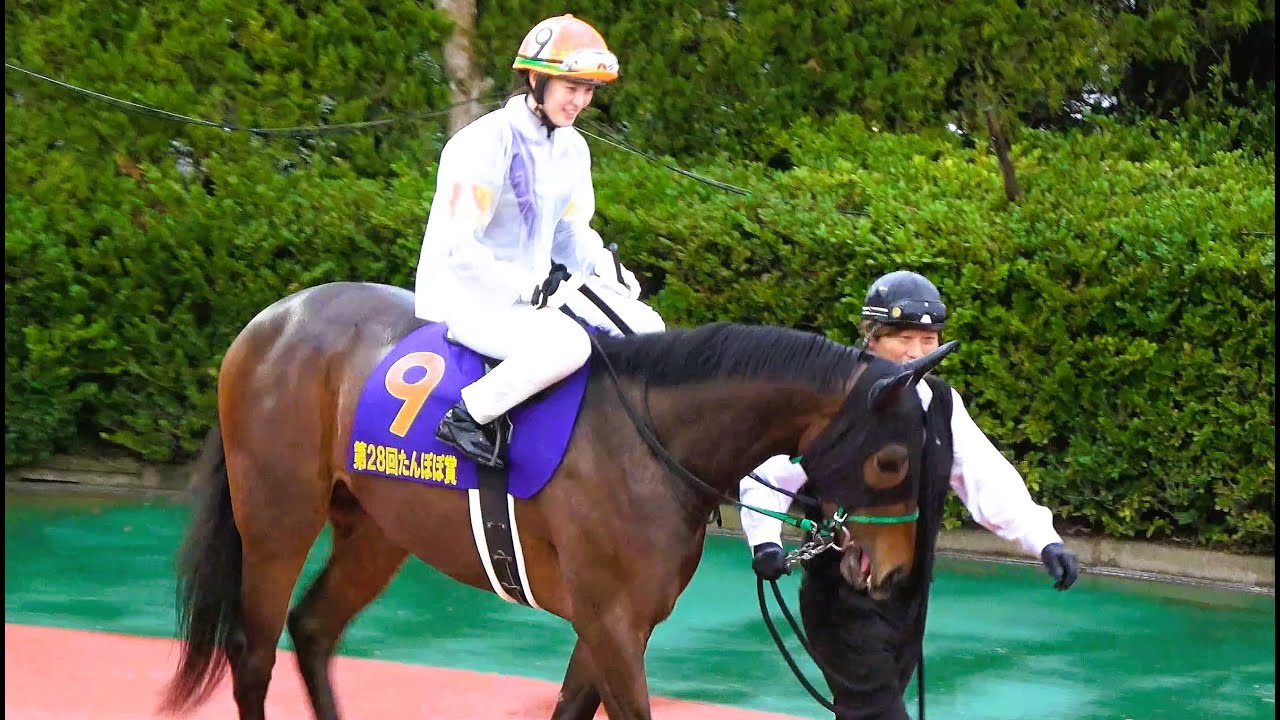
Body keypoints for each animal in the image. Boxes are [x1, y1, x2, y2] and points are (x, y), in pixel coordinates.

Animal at [160, 280, 956, 720]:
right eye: (892, 459)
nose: (893, 572)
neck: (652, 436)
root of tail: (273, 320)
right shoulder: (609, 622)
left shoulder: (615, 623)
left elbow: (571, 710)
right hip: (276, 522)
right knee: (252, 652)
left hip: (377, 532)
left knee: (314, 629)